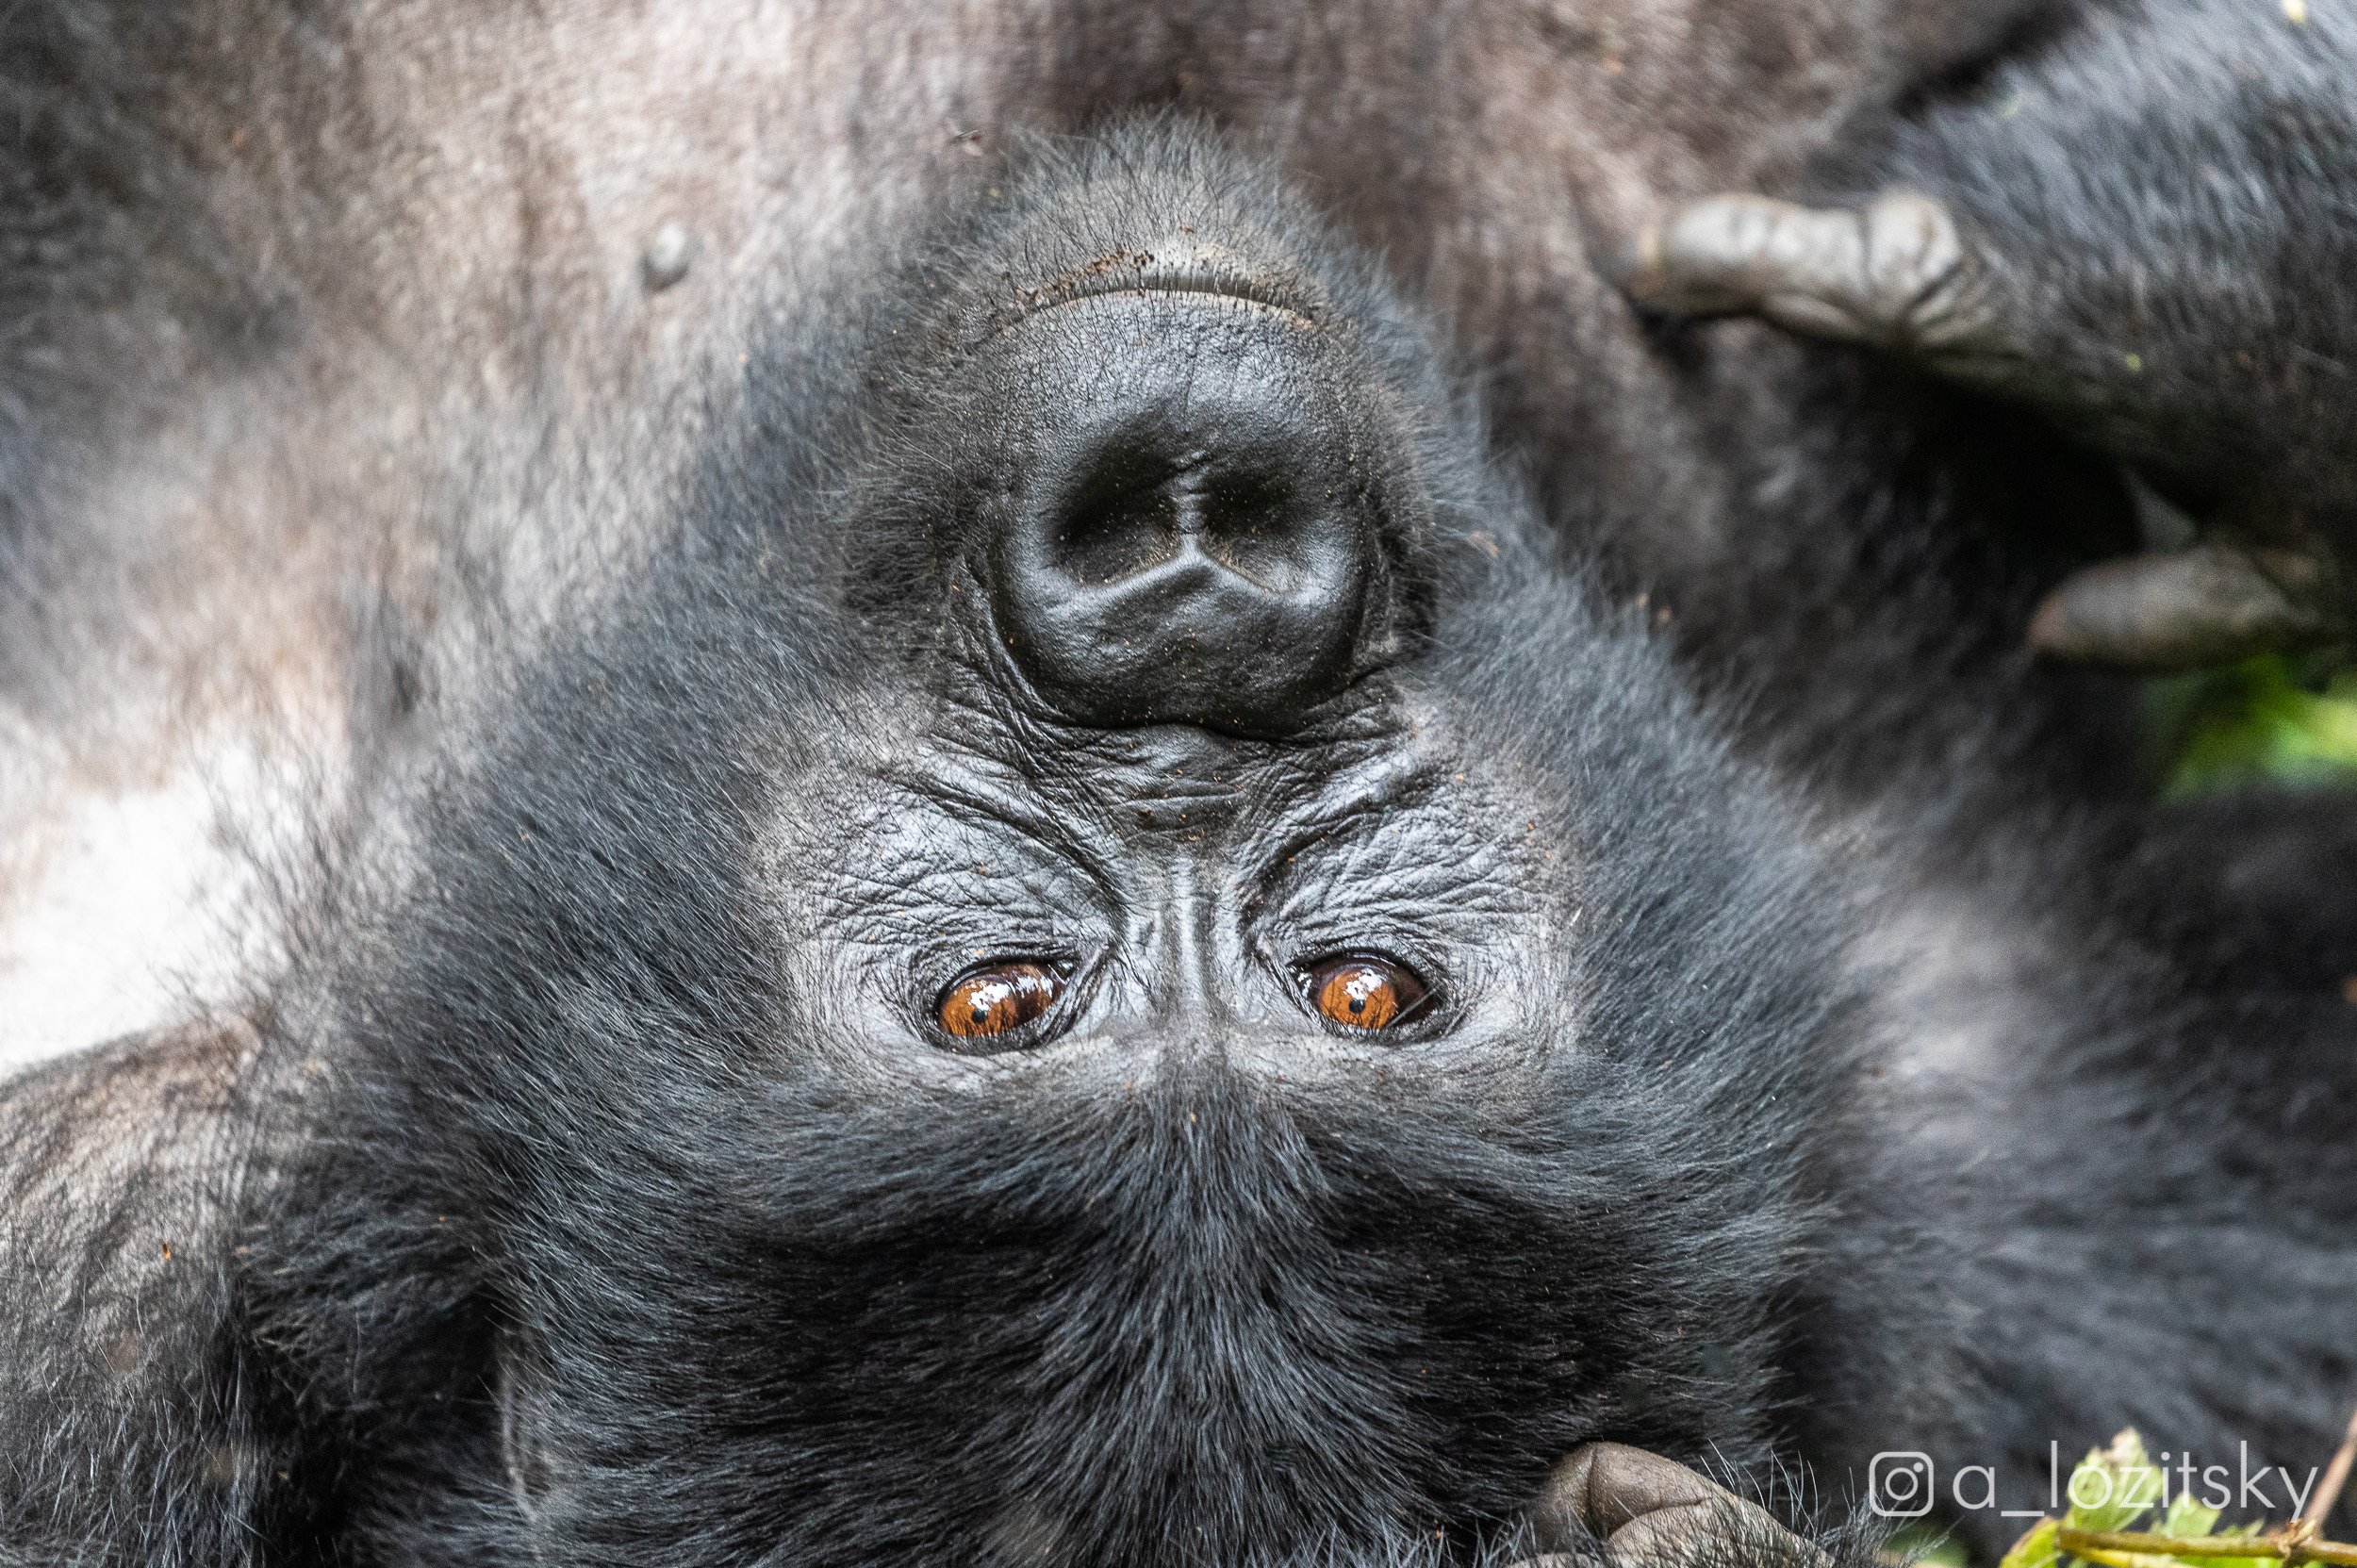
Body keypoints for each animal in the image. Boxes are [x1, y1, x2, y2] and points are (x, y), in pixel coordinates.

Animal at [4, 3, 2357, 1565]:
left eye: (1366, 993)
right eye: (997, 1001)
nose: (1194, 572)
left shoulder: (2002, 1163)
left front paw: (2226, 296)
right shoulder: (104, 1272)